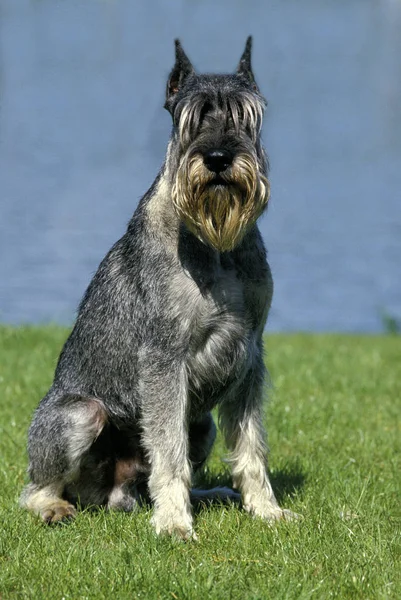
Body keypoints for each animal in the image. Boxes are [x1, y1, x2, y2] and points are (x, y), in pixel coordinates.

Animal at [20, 37, 296, 540]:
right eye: (191, 118)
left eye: (245, 116)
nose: (218, 159)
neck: (214, 246)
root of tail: (108, 495)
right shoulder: (164, 360)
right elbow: (168, 451)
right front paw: (173, 525)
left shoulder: (249, 355)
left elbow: (251, 446)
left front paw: (267, 510)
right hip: (80, 415)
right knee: (36, 487)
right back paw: (55, 507)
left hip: (202, 425)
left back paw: (210, 495)